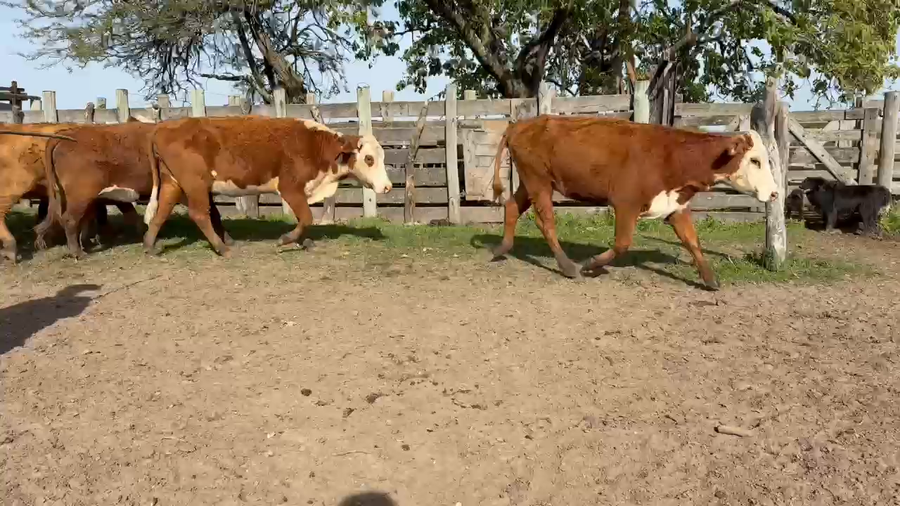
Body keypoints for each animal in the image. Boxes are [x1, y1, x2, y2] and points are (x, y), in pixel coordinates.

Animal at [142, 116, 392, 257]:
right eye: (369, 158)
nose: (388, 187)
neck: (315, 146)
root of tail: (163, 128)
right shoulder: (291, 188)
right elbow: (306, 217)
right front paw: (286, 240)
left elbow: (304, 218)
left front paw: (303, 242)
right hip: (196, 184)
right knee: (199, 214)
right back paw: (223, 248)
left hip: (173, 182)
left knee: (162, 210)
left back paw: (150, 246)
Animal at [491, 116, 778, 290]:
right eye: (755, 160)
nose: (775, 193)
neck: (671, 154)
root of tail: (520, 125)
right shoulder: (626, 204)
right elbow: (622, 243)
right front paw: (592, 264)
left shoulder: (676, 206)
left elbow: (692, 242)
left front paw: (710, 279)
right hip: (538, 181)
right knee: (546, 222)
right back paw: (569, 266)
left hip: (529, 183)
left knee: (512, 207)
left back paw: (501, 248)